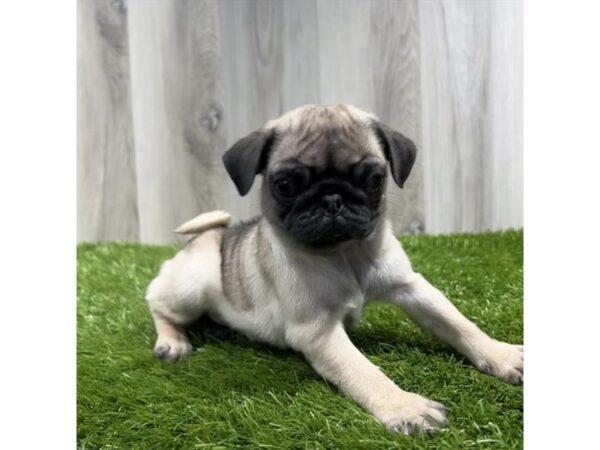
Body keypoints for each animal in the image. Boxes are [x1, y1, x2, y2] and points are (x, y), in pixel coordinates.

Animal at [148, 103, 524, 434]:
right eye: (285, 185)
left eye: (374, 180)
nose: (331, 199)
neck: (344, 254)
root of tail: (211, 235)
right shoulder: (317, 330)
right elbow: (364, 371)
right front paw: (405, 408)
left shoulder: (411, 286)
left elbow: (457, 322)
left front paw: (500, 354)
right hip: (193, 285)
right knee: (156, 302)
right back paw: (173, 342)